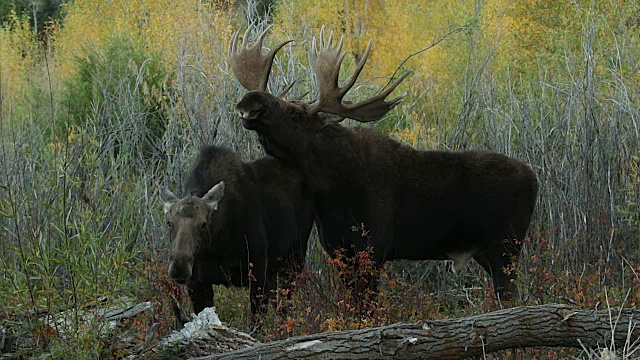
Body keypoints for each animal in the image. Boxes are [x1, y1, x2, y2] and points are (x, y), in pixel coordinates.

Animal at [160, 145, 316, 324]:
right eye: (169, 222)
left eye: (203, 223)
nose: (179, 266)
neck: (216, 245)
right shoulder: (197, 284)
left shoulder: (257, 275)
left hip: (294, 260)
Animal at [228, 26, 536, 300]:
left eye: (296, 114)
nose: (251, 100)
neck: (328, 191)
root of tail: (534, 177)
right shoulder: (340, 252)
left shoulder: (373, 249)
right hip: (488, 252)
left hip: (506, 246)